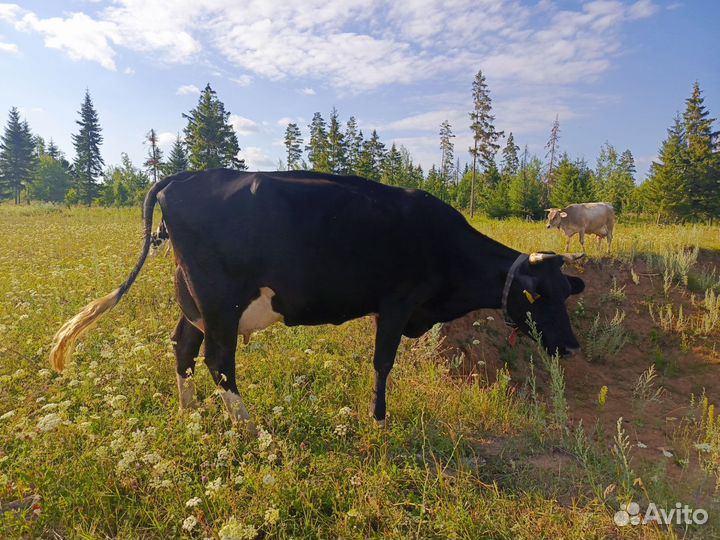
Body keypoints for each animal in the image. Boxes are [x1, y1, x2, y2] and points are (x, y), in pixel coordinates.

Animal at [49, 170, 586, 433]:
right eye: (538, 297)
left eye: (566, 294)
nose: (571, 346)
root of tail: (181, 177)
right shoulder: (397, 302)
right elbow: (383, 363)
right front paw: (379, 420)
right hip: (220, 300)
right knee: (219, 361)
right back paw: (251, 429)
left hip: (194, 300)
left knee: (183, 346)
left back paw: (189, 413)